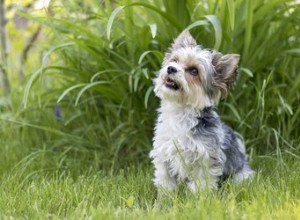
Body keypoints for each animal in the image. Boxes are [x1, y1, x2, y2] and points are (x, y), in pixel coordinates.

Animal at [149, 31, 253, 192]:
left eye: (194, 71)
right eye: (175, 60)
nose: (171, 68)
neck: (181, 112)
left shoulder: (206, 158)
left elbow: (201, 183)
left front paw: (199, 197)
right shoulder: (164, 155)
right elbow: (166, 182)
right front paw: (165, 197)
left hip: (241, 175)